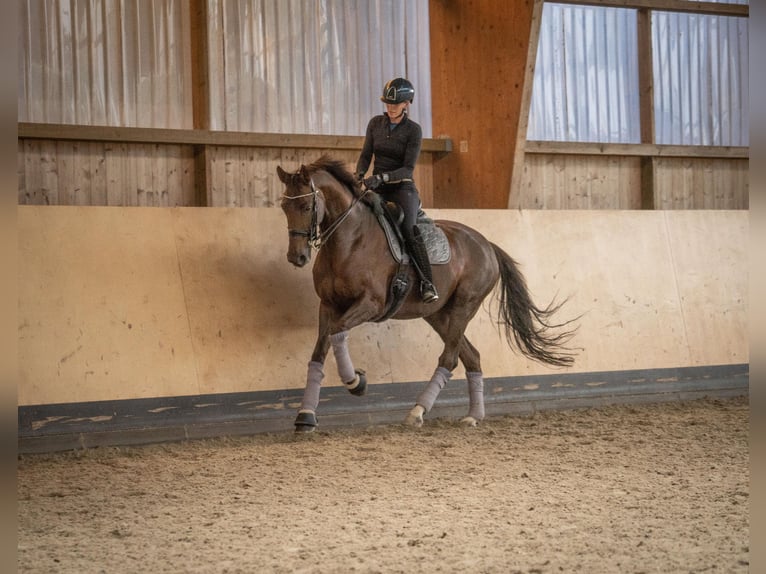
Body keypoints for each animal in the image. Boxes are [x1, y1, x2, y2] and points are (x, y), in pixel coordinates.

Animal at [276, 155, 576, 434]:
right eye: (283, 207)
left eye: (306, 206)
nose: (296, 257)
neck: (349, 241)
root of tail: (486, 244)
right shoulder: (327, 305)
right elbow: (319, 351)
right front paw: (305, 416)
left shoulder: (371, 304)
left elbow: (338, 332)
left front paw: (356, 382)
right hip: (438, 315)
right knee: (471, 356)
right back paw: (472, 416)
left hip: (464, 307)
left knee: (450, 358)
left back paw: (418, 411)